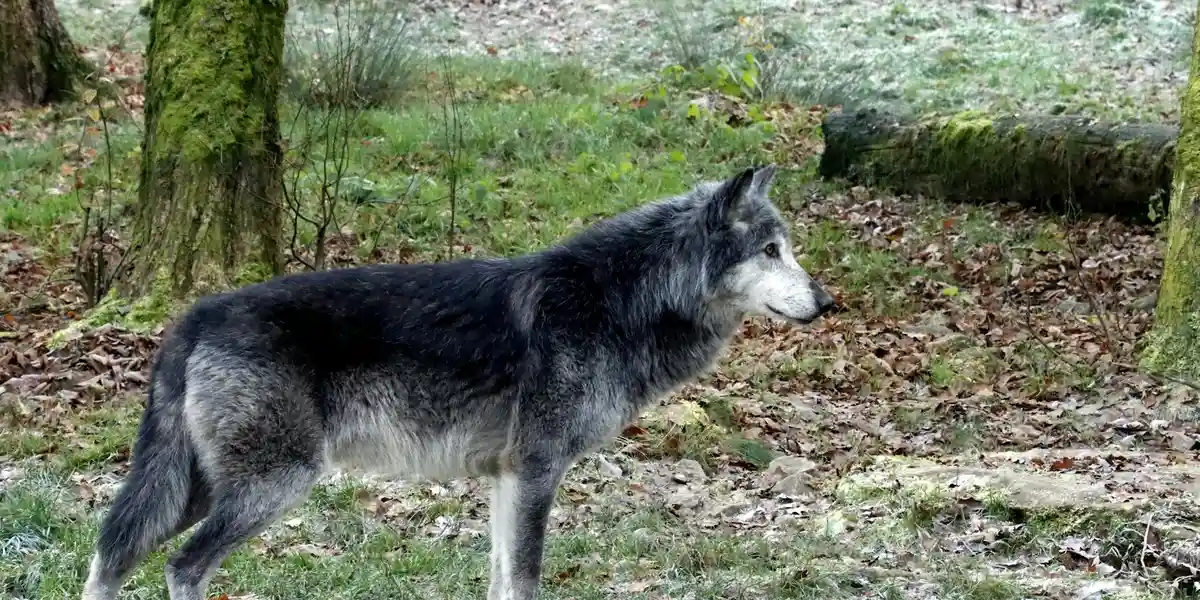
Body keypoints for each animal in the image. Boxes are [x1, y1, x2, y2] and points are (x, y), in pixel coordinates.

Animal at [80, 164, 835, 600]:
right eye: (772, 251)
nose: (828, 302)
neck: (620, 302)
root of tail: (192, 318)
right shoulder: (535, 471)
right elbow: (525, 579)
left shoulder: (507, 478)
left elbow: (502, 579)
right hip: (270, 486)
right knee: (181, 567)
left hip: (196, 490)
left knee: (111, 554)